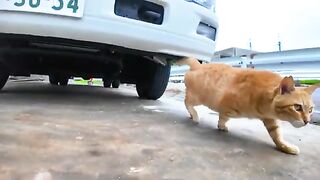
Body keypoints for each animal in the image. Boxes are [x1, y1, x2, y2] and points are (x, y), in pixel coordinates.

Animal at [179, 57, 318, 155]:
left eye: (311, 110)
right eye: (297, 107)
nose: (307, 121)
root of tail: (199, 65)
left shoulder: (270, 119)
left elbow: (277, 135)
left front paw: (286, 147)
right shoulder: (225, 104)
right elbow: (223, 116)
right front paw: (221, 125)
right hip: (198, 98)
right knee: (186, 101)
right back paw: (194, 115)